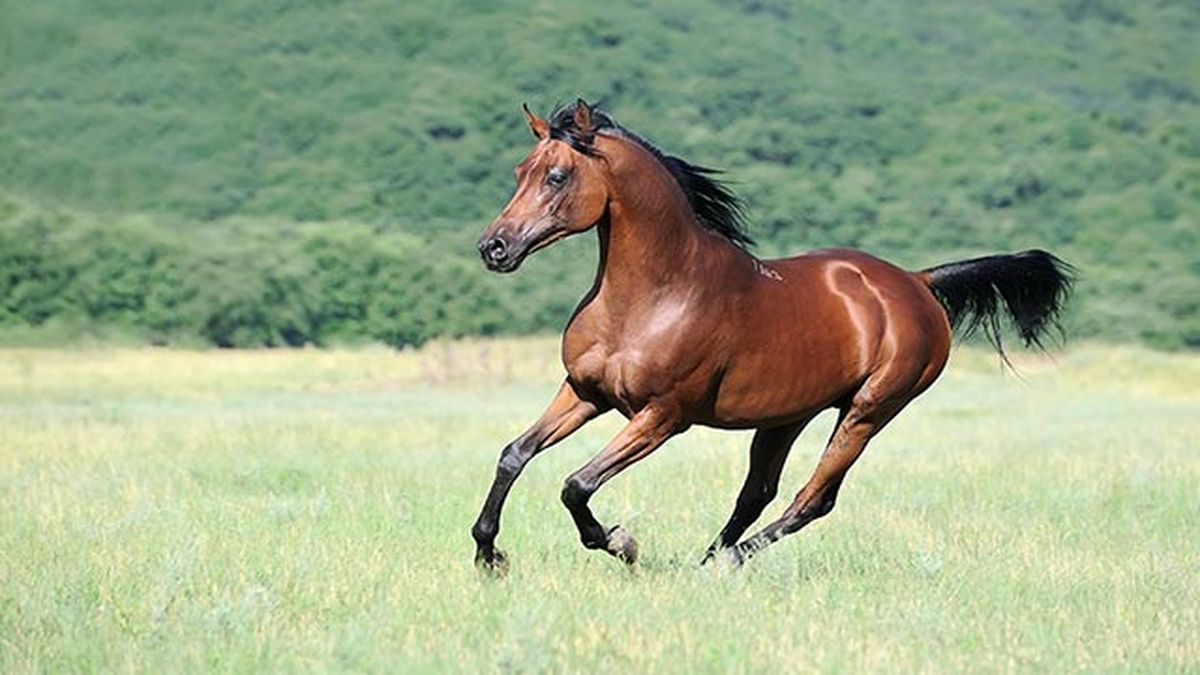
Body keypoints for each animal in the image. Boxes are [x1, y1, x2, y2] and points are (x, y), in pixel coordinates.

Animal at [470, 99, 1073, 571]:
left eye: (557, 176)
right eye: (520, 170)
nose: (494, 247)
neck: (655, 295)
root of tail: (916, 282)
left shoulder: (662, 417)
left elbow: (577, 484)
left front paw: (621, 542)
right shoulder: (584, 392)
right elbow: (513, 454)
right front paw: (488, 554)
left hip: (868, 411)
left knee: (813, 499)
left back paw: (727, 560)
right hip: (788, 415)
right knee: (758, 493)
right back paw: (708, 560)